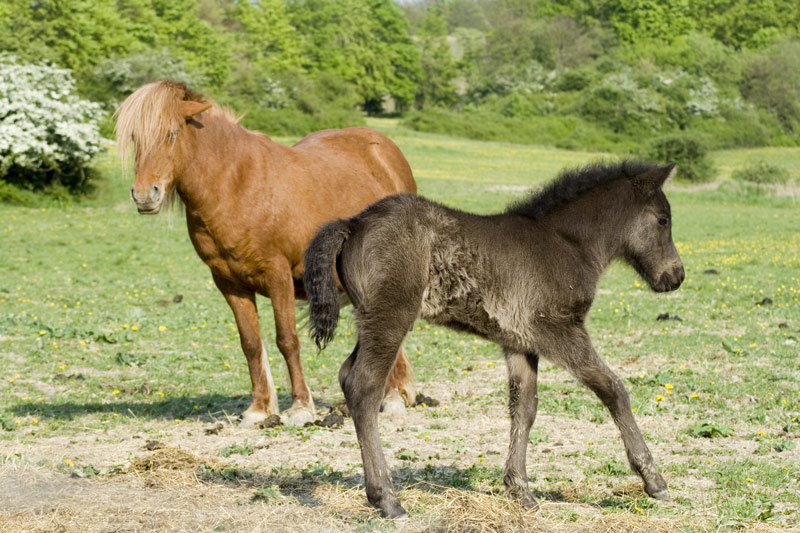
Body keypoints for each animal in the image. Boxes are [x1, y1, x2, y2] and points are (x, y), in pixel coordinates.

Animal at [117, 81, 418, 426]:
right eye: (136, 138)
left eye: (171, 134)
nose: (144, 195)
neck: (235, 185)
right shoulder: (229, 283)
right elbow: (250, 344)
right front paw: (259, 408)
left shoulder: (278, 276)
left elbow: (286, 340)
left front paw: (300, 407)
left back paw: (392, 399)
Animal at [304, 161, 684, 516]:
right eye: (663, 220)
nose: (676, 276)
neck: (567, 244)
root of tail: (354, 223)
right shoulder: (560, 330)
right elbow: (613, 389)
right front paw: (653, 480)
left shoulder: (520, 342)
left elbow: (524, 408)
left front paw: (520, 490)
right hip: (391, 317)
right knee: (365, 385)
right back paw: (386, 498)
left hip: (371, 318)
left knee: (347, 375)